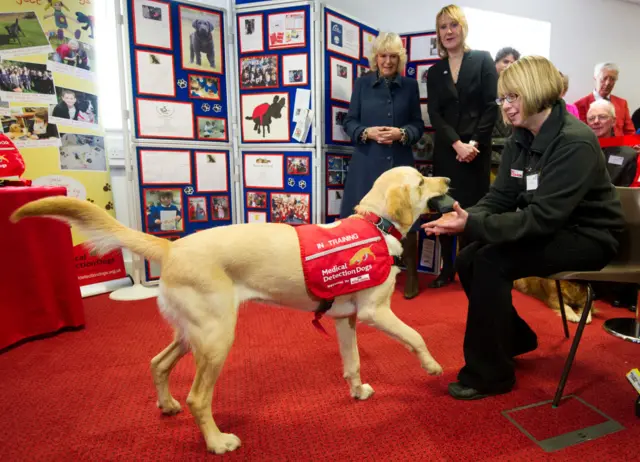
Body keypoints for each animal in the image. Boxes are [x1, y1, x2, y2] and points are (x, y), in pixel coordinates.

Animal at [10, 166, 450, 454]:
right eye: (421, 181)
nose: (448, 180)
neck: (377, 224)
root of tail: (170, 247)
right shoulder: (376, 313)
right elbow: (416, 335)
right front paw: (432, 366)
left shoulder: (346, 319)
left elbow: (353, 362)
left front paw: (357, 391)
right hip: (217, 336)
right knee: (198, 398)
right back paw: (218, 442)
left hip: (194, 333)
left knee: (158, 363)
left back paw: (166, 405)